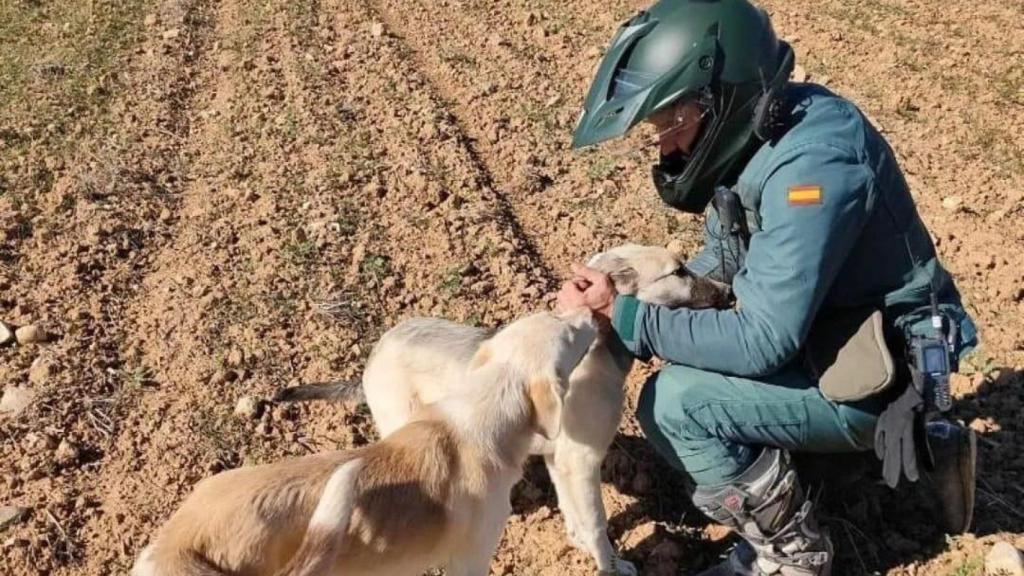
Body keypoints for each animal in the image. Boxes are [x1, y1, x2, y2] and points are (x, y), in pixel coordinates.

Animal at [276, 242, 733, 573]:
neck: (599, 351)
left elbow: (576, 516)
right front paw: (611, 565)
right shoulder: (581, 461)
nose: (730, 292)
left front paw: (582, 546)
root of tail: (373, 357)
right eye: (679, 271)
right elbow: (597, 524)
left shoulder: (561, 461)